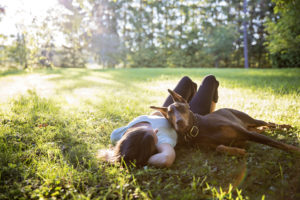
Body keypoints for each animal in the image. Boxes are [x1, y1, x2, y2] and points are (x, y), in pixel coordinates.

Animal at [151, 89, 300, 156]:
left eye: (182, 108)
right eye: (169, 114)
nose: (179, 123)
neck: (198, 128)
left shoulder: (244, 132)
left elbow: (274, 142)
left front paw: (294, 149)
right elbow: (220, 147)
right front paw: (238, 150)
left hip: (249, 120)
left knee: (269, 123)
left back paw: (286, 126)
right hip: (251, 127)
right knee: (263, 128)